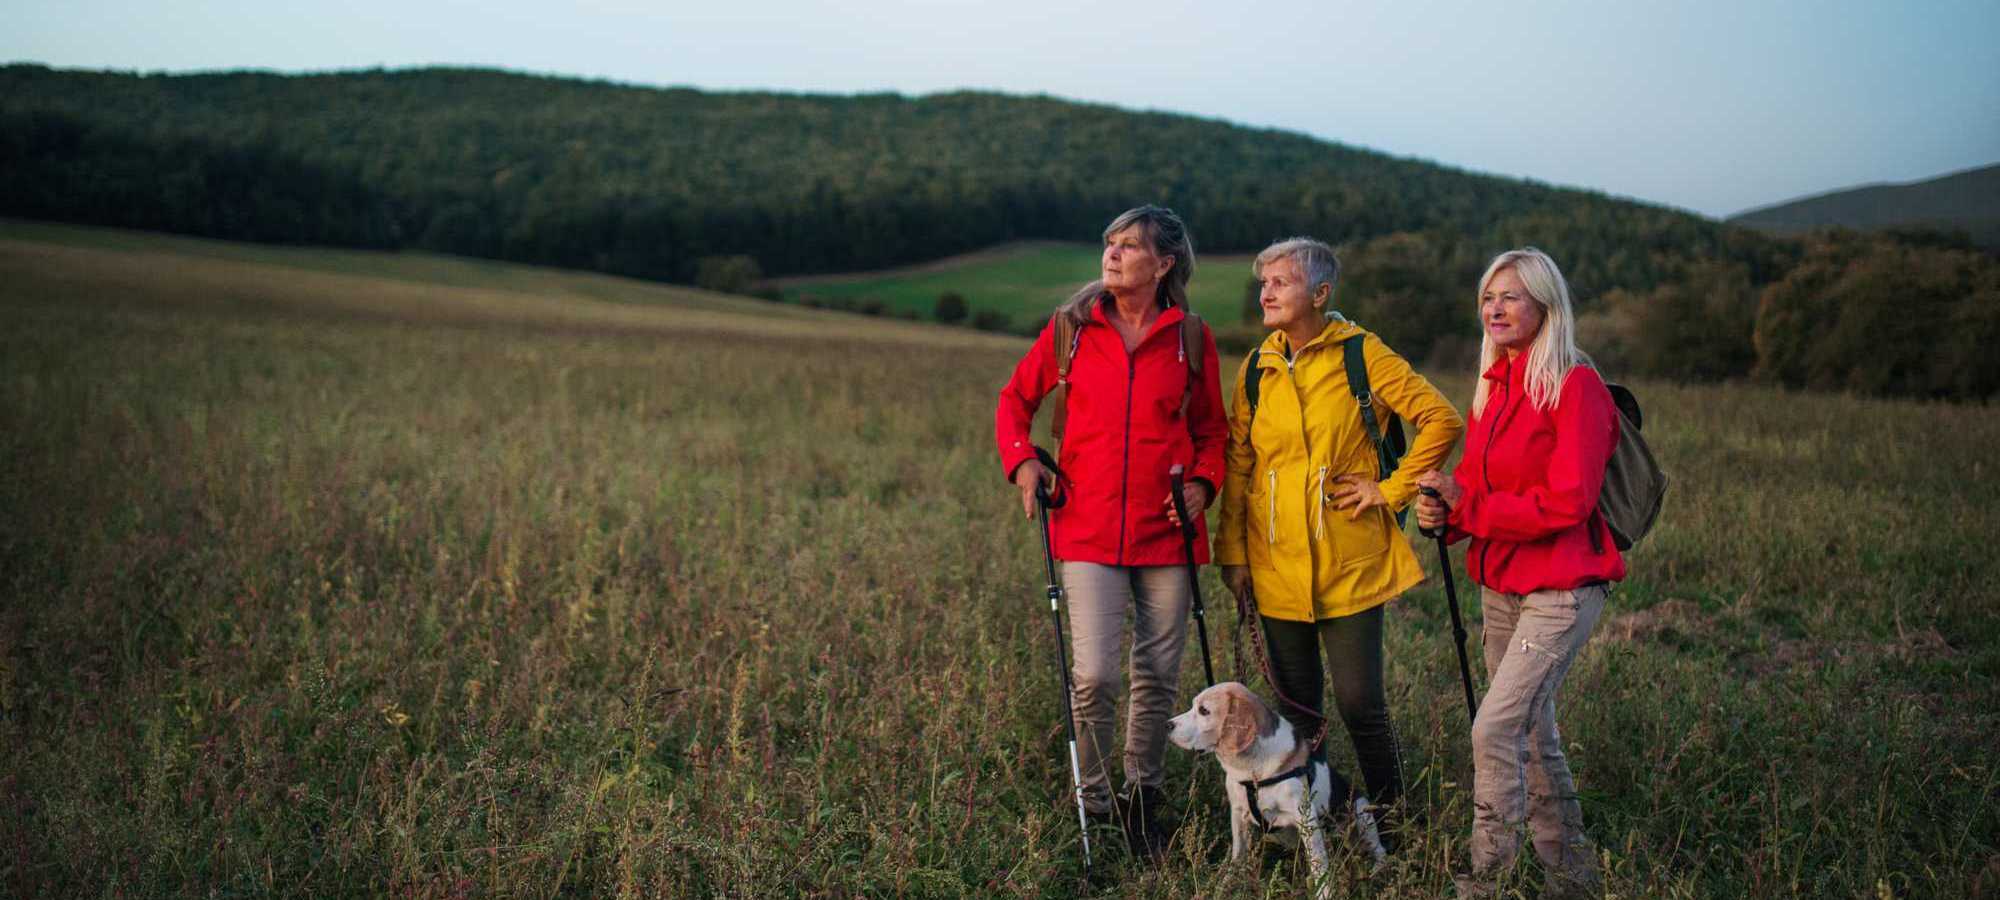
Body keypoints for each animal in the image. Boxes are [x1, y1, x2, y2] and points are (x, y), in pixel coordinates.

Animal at [1168, 684, 1384, 892]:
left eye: (1204, 710)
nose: (1168, 724)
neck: (1253, 771)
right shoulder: (1238, 814)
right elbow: (1238, 856)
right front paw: (1226, 885)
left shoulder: (1306, 819)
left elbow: (1319, 866)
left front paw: (1324, 893)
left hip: (1362, 814)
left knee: (1380, 851)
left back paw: (1376, 871)